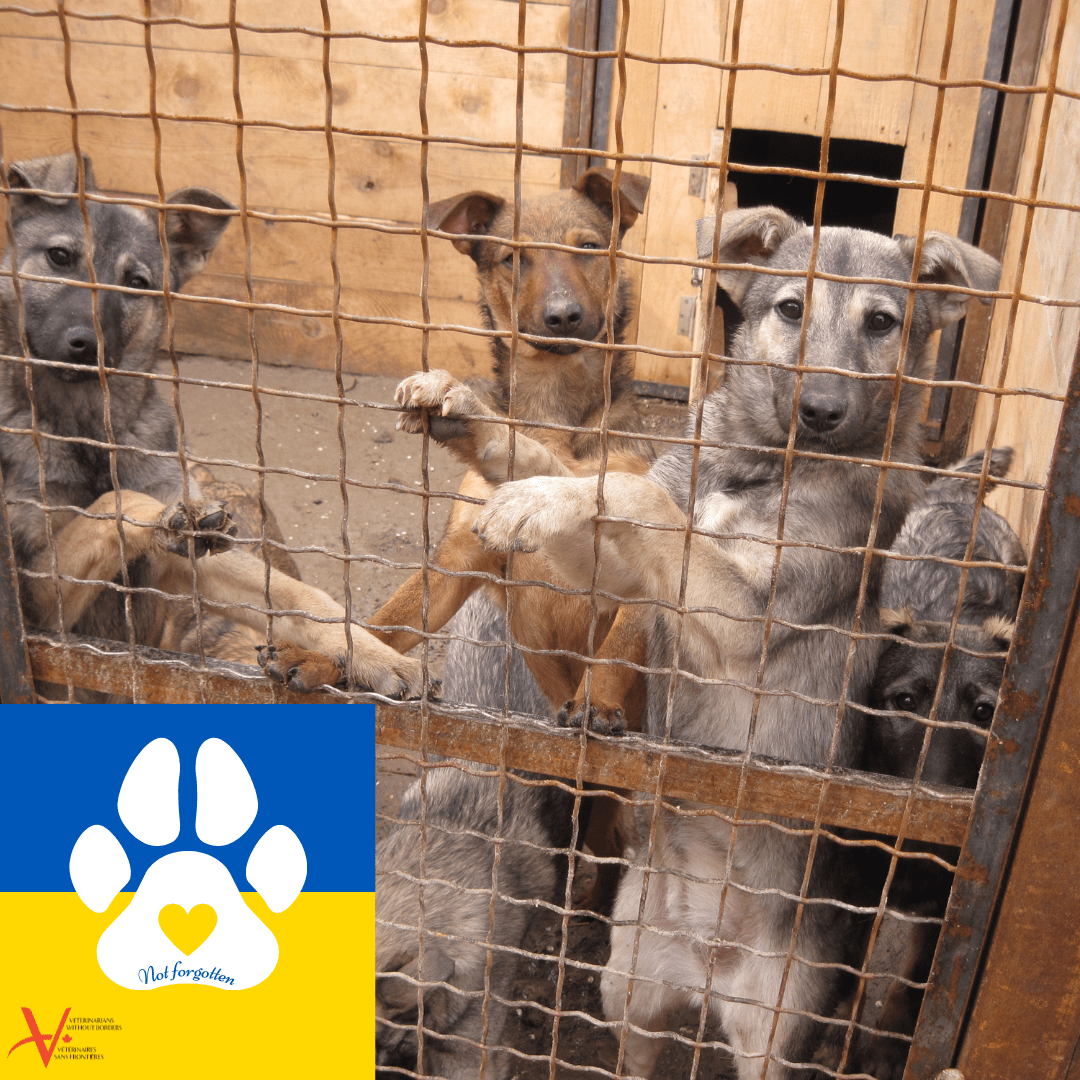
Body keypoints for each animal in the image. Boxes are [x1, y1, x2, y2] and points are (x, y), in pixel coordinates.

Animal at [1, 152, 425, 695]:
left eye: (136, 283)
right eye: (58, 257)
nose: (85, 345)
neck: (87, 427)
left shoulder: (199, 570)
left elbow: (298, 596)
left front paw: (373, 654)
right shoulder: (36, 602)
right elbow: (115, 501)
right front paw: (169, 514)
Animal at [468, 206, 997, 1075]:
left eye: (882, 323)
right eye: (790, 308)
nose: (821, 409)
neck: (759, 465)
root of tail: (708, 962)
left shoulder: (743, 617)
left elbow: (636, 492)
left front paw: (538, 496)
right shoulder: (630, 571)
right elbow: (606, 488)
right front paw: (471, 428)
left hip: (773, 1036)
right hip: (629, 997)